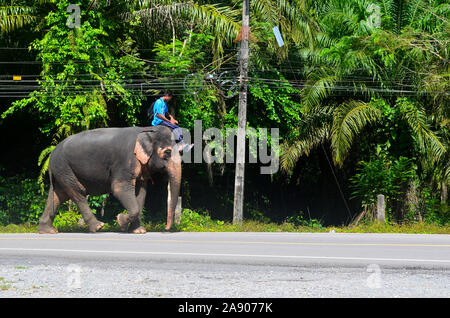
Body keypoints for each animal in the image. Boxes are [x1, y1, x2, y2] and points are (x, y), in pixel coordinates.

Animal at [37, 126, 181, 234]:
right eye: (168, 152)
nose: (165, 229)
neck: (147, 129)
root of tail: (52, 153)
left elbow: (141, 193)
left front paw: (138, 231)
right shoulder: (124, 161)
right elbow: (119, 189)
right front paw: (120, 221)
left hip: (61, 171)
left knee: (58, 195)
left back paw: (48, 231)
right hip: (64, 168)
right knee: (77, 193)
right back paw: (98, 227)